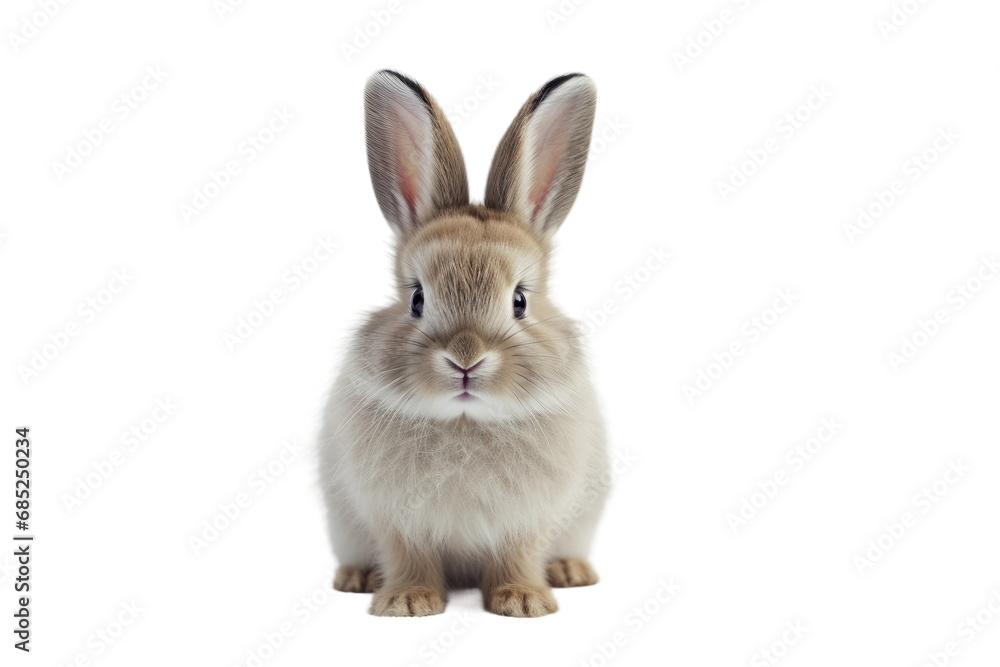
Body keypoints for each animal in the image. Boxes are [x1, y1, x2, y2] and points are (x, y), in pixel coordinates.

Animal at [318, 70, 609, 617]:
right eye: (416, 299)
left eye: (519, 300)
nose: (466, 360)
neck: (464, 421)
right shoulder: (397, 521)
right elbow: (409, 558)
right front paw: (407, 603)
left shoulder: (528, 521)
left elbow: (518, 555)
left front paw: (523, 602)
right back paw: (358, 578)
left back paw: (570, 573)